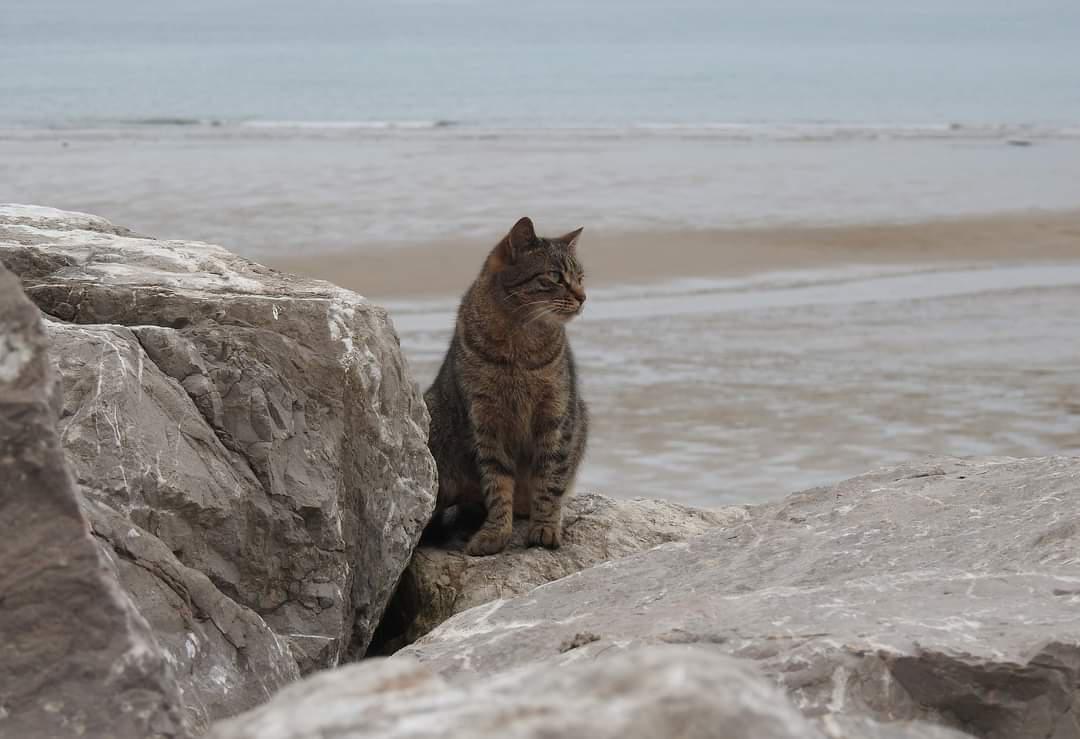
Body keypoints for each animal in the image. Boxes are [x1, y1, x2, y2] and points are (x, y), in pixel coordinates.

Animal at [423, 216, 591, 557]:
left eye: (580, 277)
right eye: (555, 276)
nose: (583, 296)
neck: (520, 341)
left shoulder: (556, 413)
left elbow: (550, 478)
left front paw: (545, 527)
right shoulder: (485, 419)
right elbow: (497, 482)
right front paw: (496, 532)